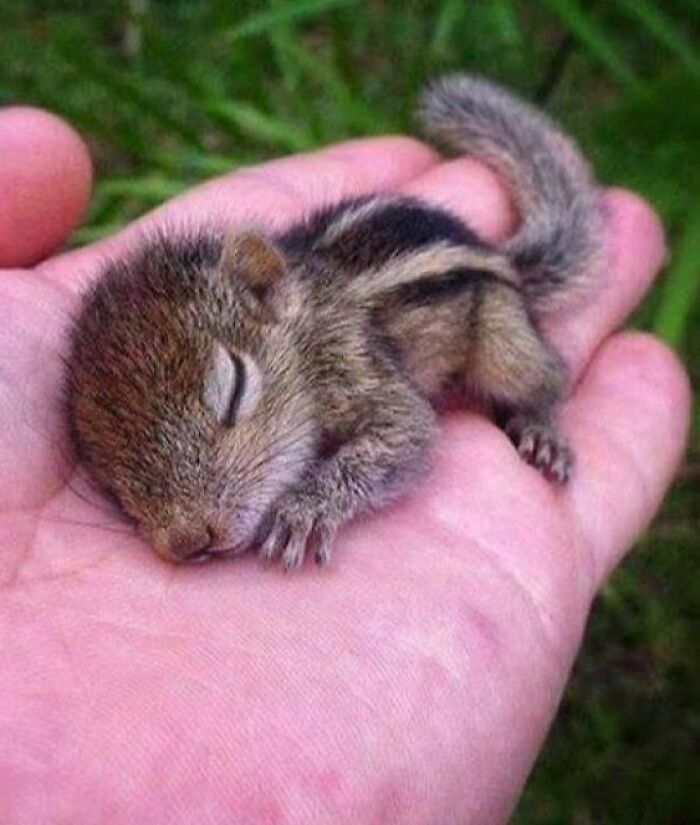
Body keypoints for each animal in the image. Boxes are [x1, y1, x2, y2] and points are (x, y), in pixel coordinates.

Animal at [65, 75, 604, 570]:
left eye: (235, 389)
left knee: (545, 376)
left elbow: (407, 434)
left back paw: (541, 428)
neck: (304, 330)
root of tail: (499, 256)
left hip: (503, 336)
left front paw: (305, 509)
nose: (187, 541)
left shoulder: (354, 365)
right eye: (105, 472)